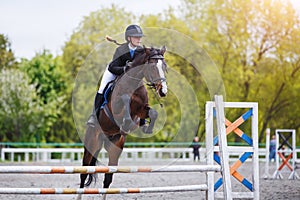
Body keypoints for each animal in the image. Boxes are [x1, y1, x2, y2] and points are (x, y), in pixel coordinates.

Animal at [79, 45, 169, 192]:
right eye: (152, 67)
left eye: (165, 66)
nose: (163, 91)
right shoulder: (116, 106)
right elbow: (125, 99)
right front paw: (126, 121)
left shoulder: (141, 111)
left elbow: (153, 113)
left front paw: (147, 128)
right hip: (91, 144)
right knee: (83, 174)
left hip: (115, 148)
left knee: (107, 179)